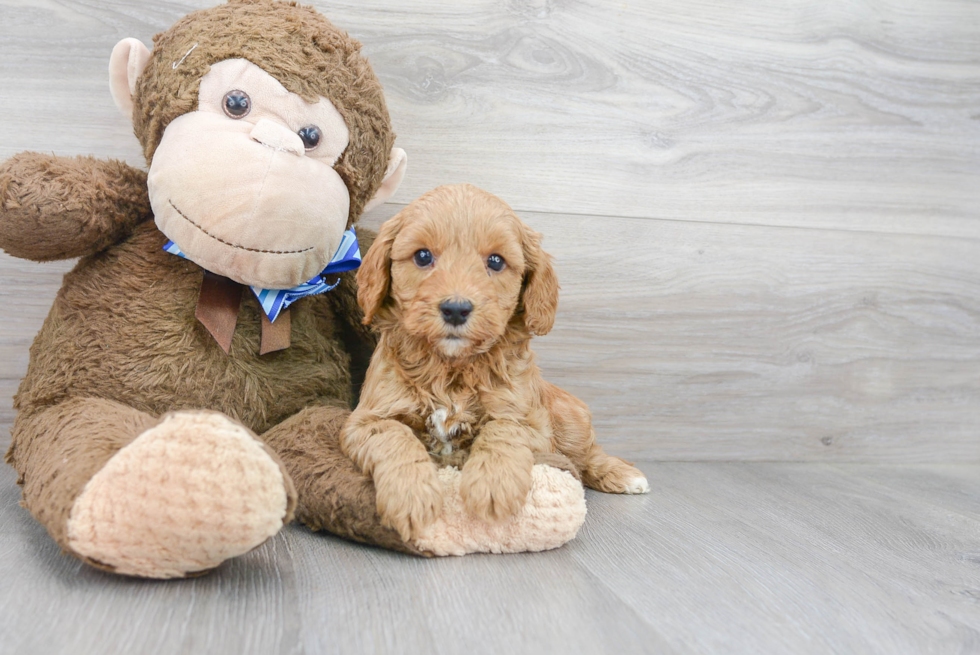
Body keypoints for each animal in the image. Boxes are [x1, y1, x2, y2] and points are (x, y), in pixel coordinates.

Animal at [340, 186, 648, 544]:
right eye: (422, 256)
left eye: (496, 261)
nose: (455, 309)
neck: (451, 368)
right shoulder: (366, 418)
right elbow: (393, 436)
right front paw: (412, 494)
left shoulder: (532, 422)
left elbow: (502, 429)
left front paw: (493, 486)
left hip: (571, 420)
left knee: (587, 456)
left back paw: (623, 474)